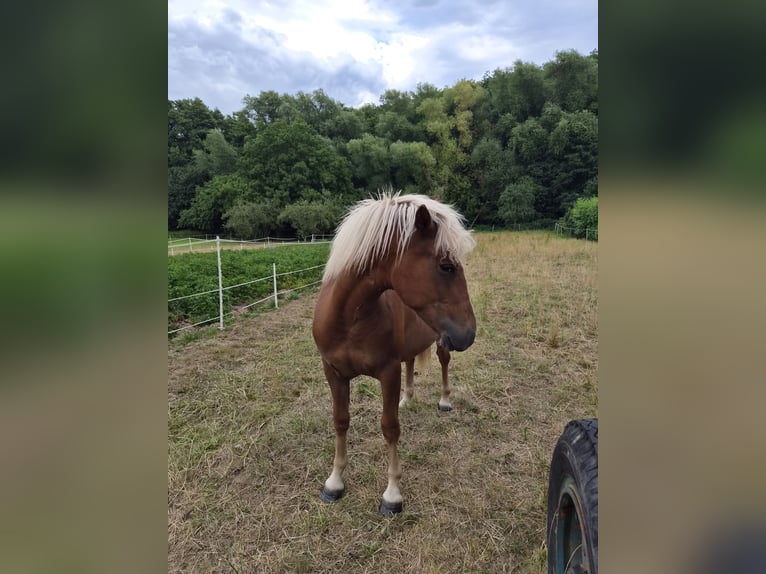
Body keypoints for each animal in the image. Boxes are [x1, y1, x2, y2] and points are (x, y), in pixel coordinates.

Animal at [312, 190, 476, 516]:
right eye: (446, 266)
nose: (469, 333)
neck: (349, 320)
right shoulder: (333, 372)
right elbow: (340, 420)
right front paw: (334, 482)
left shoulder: (388, 373)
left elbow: (389, 428)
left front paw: (392, 495)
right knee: (410, 362)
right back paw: (407, 399)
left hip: (442, 342)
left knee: (444, 363)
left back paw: (444, 401)